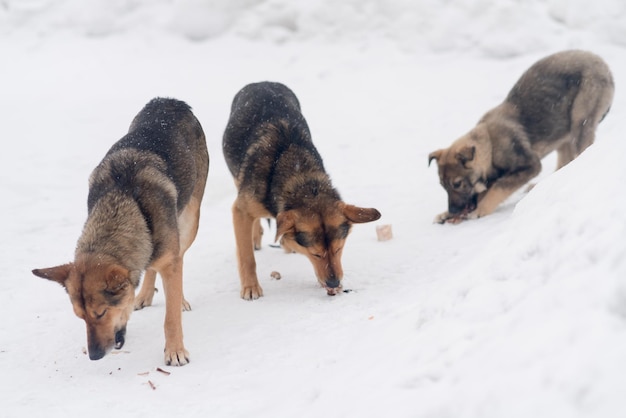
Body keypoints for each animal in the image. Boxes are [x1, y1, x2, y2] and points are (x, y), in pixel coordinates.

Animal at [32, 98, 207, 366]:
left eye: (101, 312)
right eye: (80, 316)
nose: (94, 356)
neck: (123, 202)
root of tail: (169, 101)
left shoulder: (170, 260)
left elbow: (171, 317)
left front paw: (175, 350)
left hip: (188, 222)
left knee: (178, 258)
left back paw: (179, 299)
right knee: (152, 267)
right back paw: (144, 295)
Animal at [223, 80, 380, 298]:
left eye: (338, 249)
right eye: (315, 254)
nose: (333, 282)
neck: (301, 178)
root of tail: (263, 82)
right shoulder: (241, 209)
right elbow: (246, 256)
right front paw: (250, 286)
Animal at [426, 50, 612, 224]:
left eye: (457, 184)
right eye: (443, 186)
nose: (453, 210)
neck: (490, 146)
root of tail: (600, 61)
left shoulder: (529, 166)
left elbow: (498, 188)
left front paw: (481, 209)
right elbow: (484, 190)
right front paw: (446, 214)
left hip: (580, 122)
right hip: (562, 130)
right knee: (565, 160)